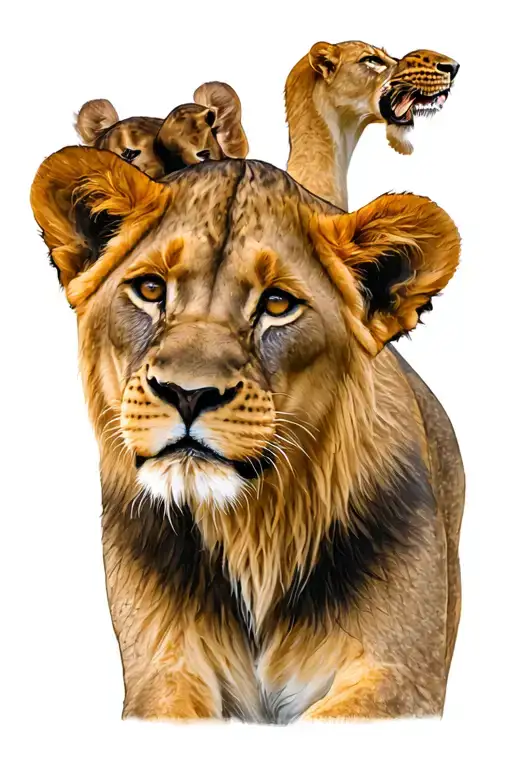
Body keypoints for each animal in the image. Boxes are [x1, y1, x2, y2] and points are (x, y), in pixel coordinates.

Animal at [31, 146, 462, 722]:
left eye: (278, 304)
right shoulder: (161, 666)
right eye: (150, 289)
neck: (253, 534)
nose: (187, 393)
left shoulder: (400, 674)